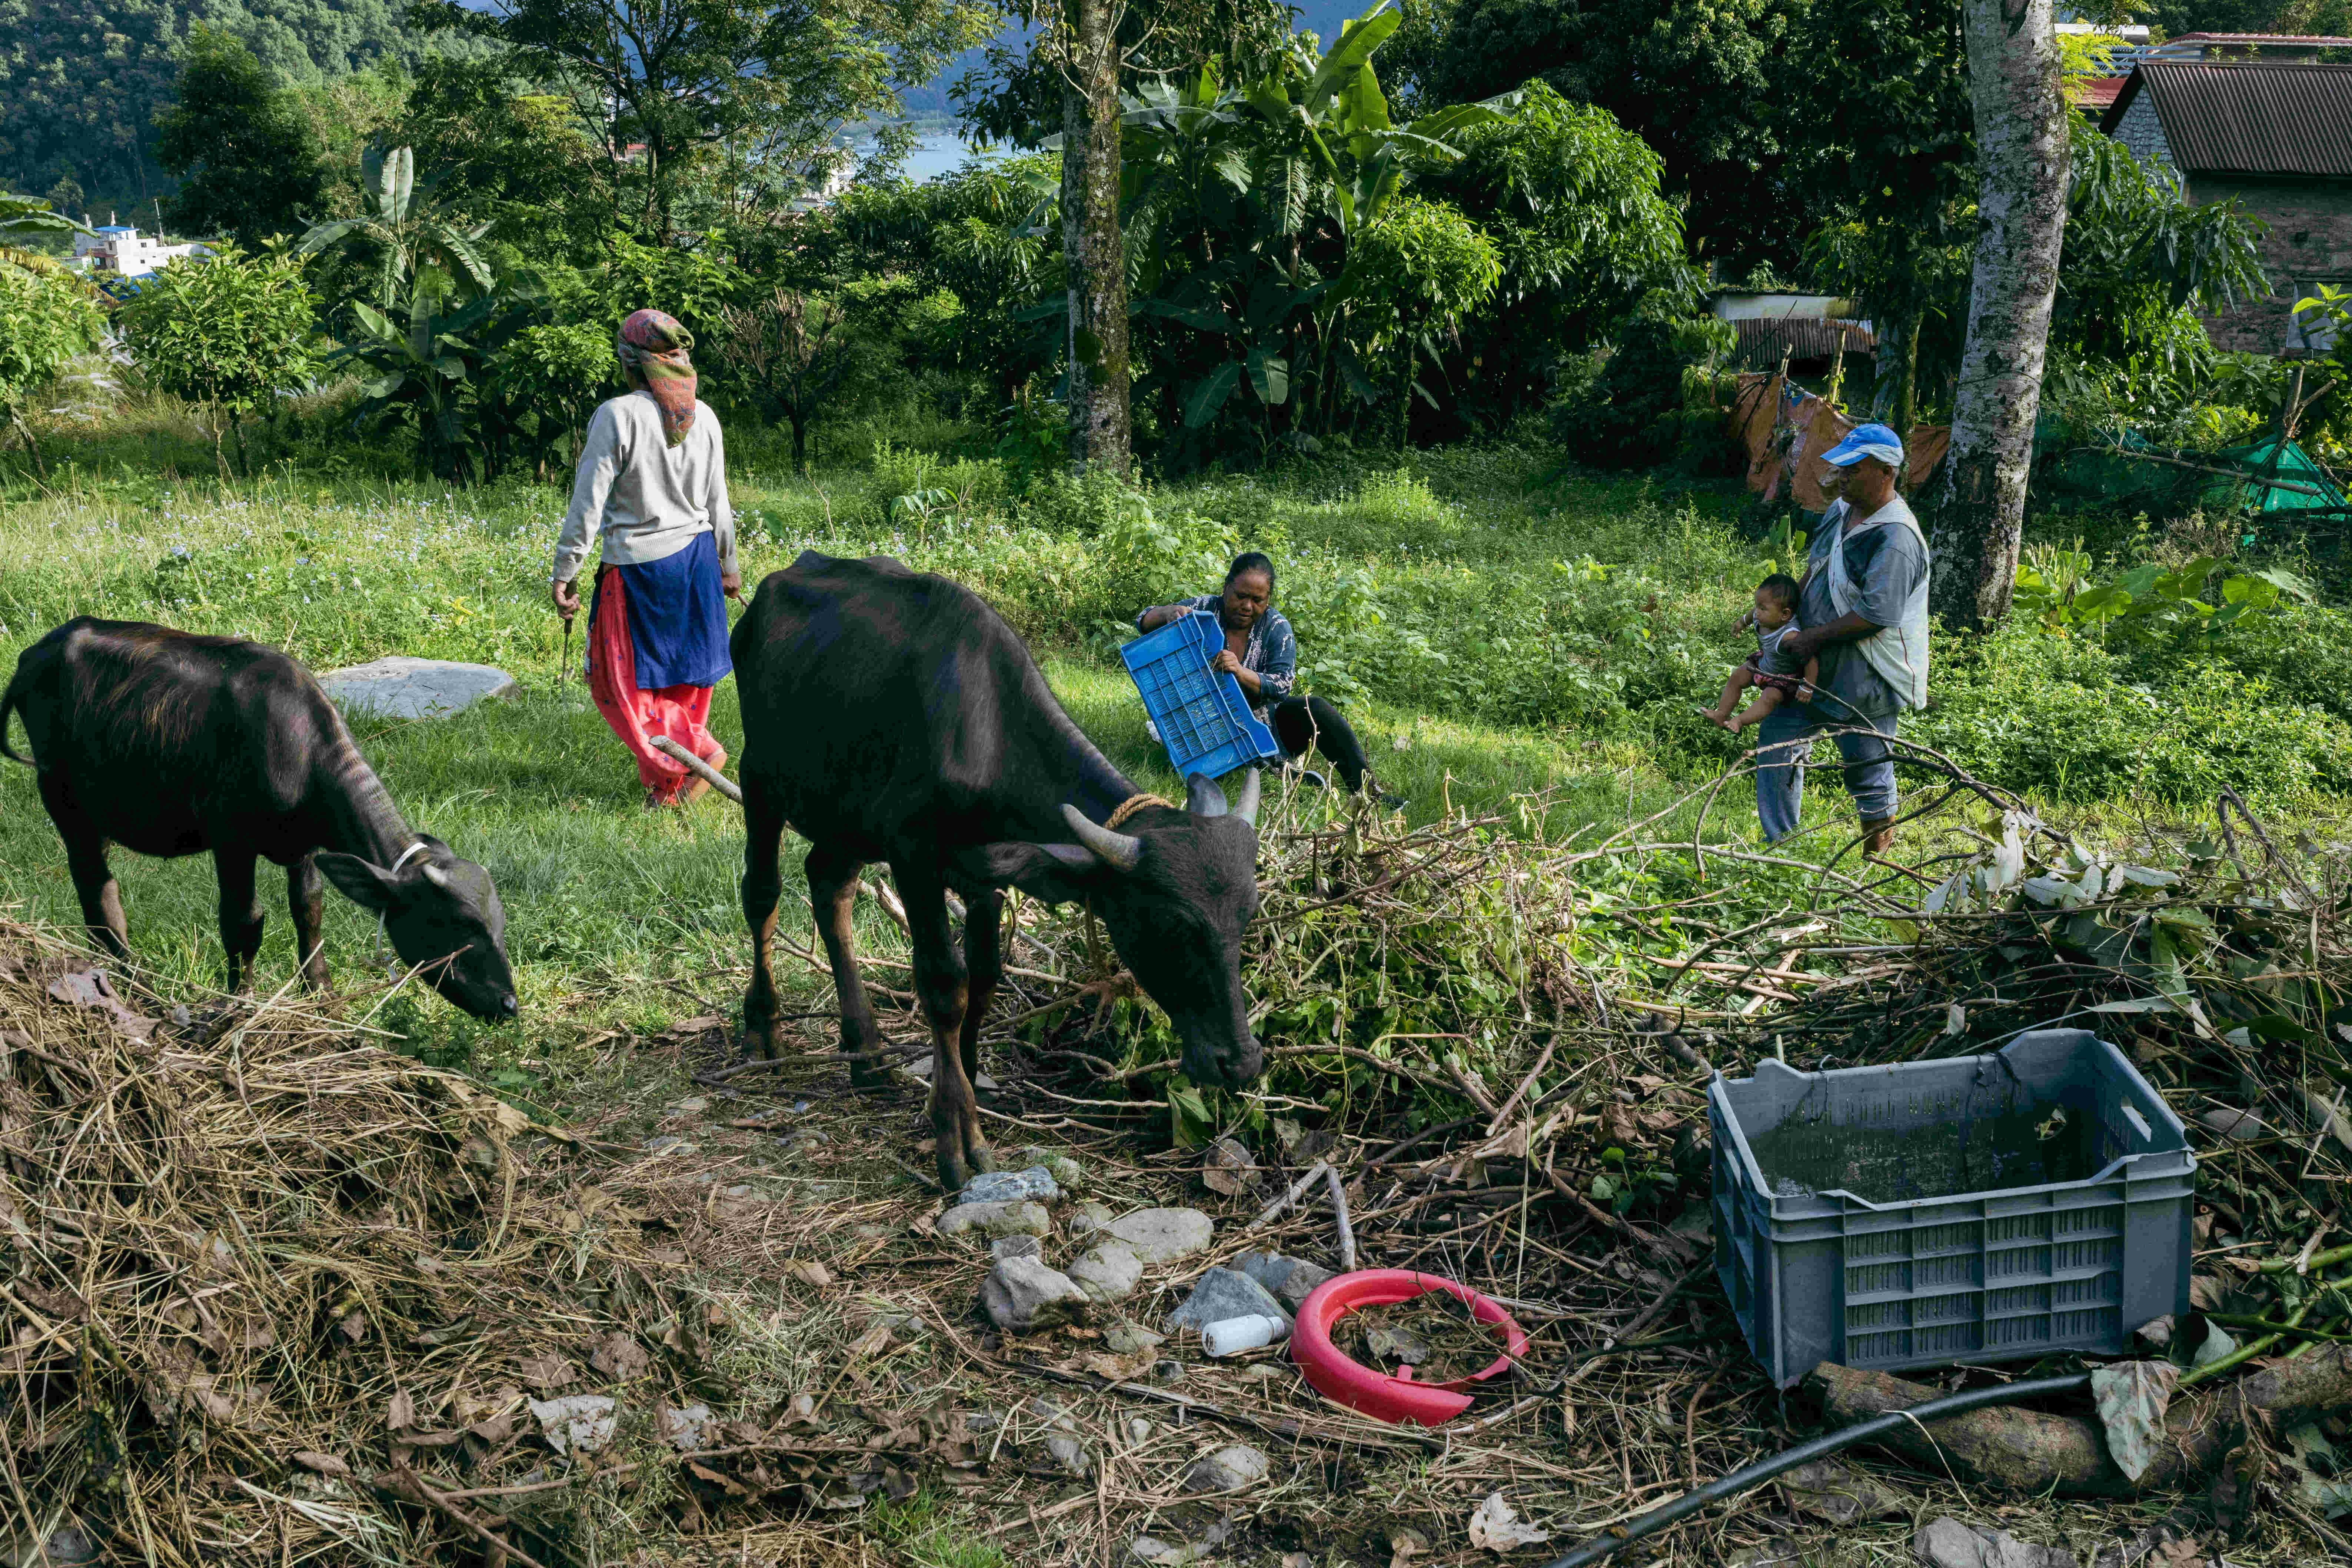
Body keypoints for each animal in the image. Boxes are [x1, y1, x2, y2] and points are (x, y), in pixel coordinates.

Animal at [3, 611, 520, 1020]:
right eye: (454, 926)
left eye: (497, 924)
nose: (508, 1004)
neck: (301, 751)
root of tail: (45, 646)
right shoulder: (232, 842)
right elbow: (243, 922)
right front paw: (240, 1003)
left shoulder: (306, 847)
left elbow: (309, 911)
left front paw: (324, 998)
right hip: (62, 798)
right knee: (97, 890)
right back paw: (136, 987)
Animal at [733, 557, 1270, 1185]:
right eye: (1170, 927)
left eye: (1246, 918)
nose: (1240, 1062)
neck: (985, 734)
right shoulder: (914, 856)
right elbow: (945, 985)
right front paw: (957, 1134)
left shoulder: (983, 876)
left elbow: (985, 977)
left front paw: (963, 1079)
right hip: (758, 780)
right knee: (762, 894)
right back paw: (762, 1028)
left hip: (846, 819)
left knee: (828, 885)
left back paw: (864, 1053)